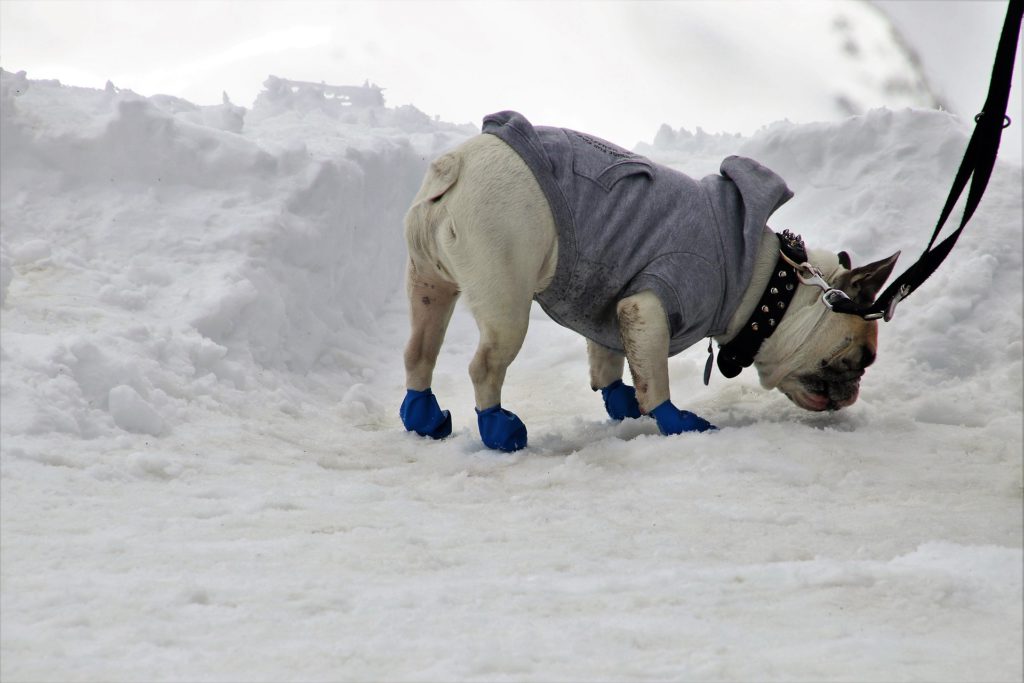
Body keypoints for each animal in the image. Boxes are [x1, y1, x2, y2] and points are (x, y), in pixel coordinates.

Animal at [399, 112, 897, 450]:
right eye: (860, 360)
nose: (852, 394)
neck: (770, 286)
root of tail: (456, 164)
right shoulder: (650, 305)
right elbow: (655, 374)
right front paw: (674, 420)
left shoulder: (609, 302)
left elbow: (609, 361)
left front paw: (622, 404)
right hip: (506, 300)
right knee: (484, 365)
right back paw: (498, 429)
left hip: (429, 284)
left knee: (419, 350)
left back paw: (423, 417)